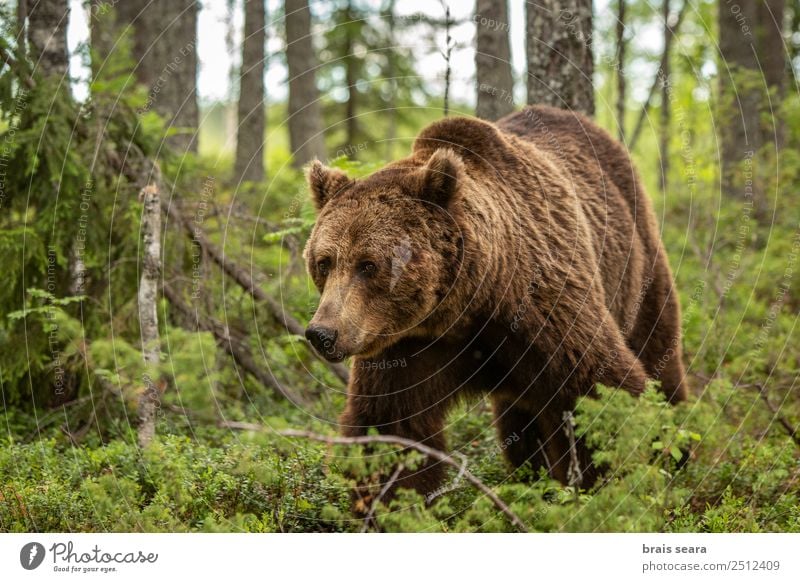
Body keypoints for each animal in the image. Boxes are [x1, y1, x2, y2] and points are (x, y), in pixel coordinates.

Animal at [304, 104, 684, 498]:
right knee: (521, 428)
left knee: (658, 355)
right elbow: (391, 425)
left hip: (638, 268)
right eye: (324, 262)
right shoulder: (406, 346)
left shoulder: (541, 309)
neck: (466, 308)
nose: (322, 333)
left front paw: (604, 485)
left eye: (368, 264)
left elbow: (596, 390)